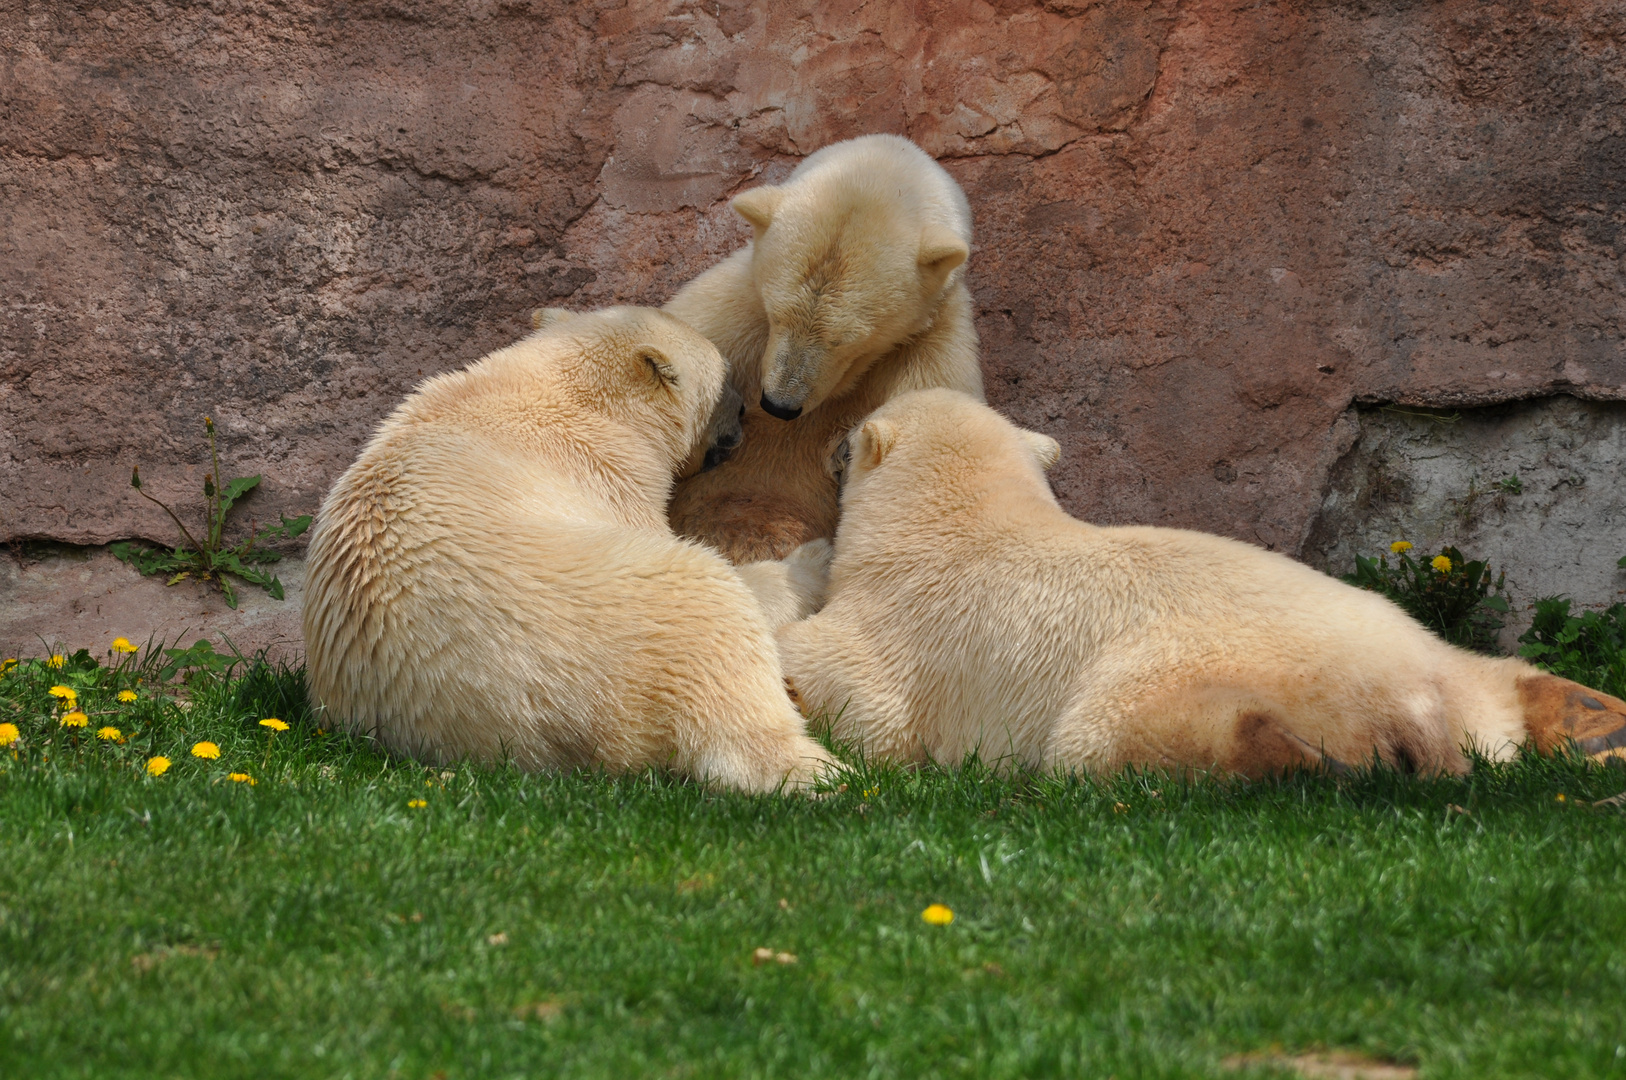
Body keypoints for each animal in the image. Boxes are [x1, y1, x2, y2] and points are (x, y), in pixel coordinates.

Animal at [302, 305, 839, 793]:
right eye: (726, 376)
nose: (745, 413)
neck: (563, 392)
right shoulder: (610, 476)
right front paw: (815, 557)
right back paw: (820, 769)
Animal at [773, 388, 1626, 777]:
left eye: (843, 447)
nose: (830, 448)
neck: (957, 515)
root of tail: (1418, 705)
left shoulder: (901, 626)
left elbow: (848, 689)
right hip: (1429, 645)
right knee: (1502, 672)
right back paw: (1594, 721)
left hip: (1179, 675)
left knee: (1121, 733)